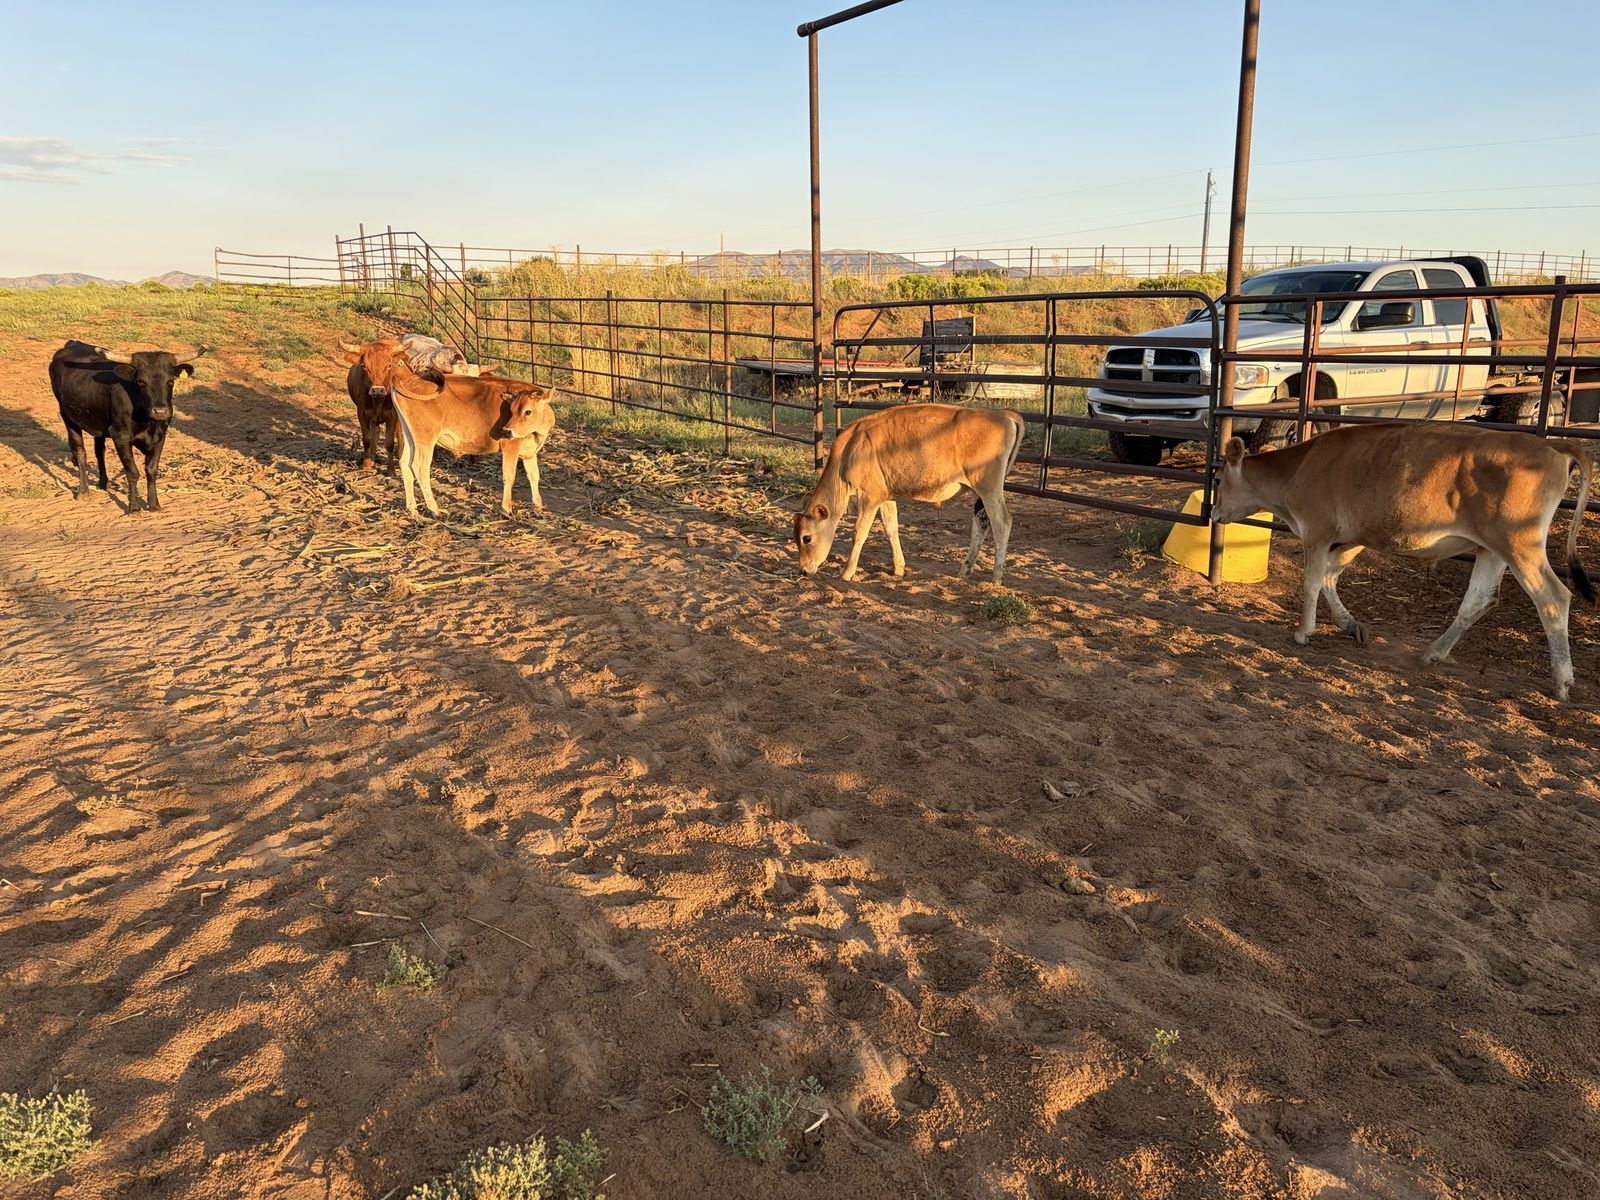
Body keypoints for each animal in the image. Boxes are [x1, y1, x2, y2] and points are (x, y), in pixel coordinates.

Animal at [48, 340, 207, 512]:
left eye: (170, 381)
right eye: (141, 382)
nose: (160, 411)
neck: (147, 421)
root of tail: (71, 344)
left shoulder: (160, 436)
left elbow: (151, 470)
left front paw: (153, 504)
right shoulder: (121, 437)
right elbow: (132, 472)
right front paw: (134, 507)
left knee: (99, 451)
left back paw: (103, 483)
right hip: (67, 416)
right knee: (80, 452)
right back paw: (83, 491)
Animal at [387, 357, 557, 516]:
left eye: (527, 411)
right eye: (512, 410)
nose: (507, 431)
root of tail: (407, 379)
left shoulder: (530, 451)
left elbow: (534, 475)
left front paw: (538, 505)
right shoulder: (511, 447)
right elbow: (509, 476)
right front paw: (506, 508)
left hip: (410, 437)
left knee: (405, 464)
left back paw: (412, 508)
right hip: (425, 440)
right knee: (419, 467)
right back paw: (434, 509)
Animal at [793, 402, 1025, 583]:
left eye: (806, 538)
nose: (803, 570)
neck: (850, 452)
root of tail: (1003, 414)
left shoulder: (870, 498)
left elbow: (859, 533)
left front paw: (847, 573)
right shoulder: (886, 497)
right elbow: (891, 529)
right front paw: (898, 568)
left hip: (990, 490)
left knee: (1002, 523)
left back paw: (996, 577)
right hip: (982, 492)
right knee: (981, 522)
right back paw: (964, 571)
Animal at [1212, 423, 1595, 699]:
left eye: (1218, 478)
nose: (1213, 513)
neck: (1300, 467)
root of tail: (1551, 445)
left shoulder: (1318, 529)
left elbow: (1311, 580)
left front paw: (1304, 632)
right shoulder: (1356, 536)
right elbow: (1328, 577)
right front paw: (1350, 625)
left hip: (1519, 543)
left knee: (1553, 598)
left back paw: (1562, 681)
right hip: (1492, 548)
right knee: (1478, 600)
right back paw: (1433, 654)